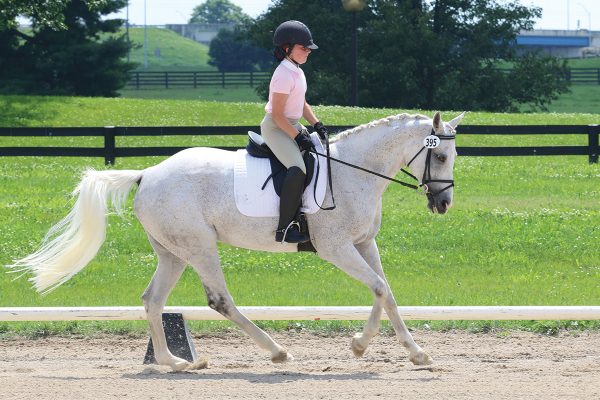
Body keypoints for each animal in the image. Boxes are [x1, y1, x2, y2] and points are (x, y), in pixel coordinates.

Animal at [11, 111, 466, 370]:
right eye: (441, 156)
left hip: (173, 252)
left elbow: (385, 291)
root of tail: (147, 174)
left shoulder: (363, 244)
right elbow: (378, 288)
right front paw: (364, 346)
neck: (355, 170)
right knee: (219, 301)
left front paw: (410, 353)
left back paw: (174, 363)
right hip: (199, 247)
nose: (444, 204)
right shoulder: (336, 248)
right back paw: (276, 352)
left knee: (153, 300)